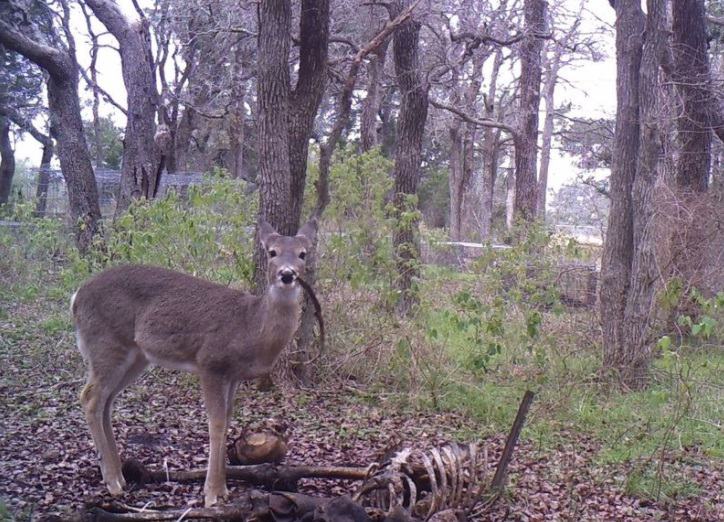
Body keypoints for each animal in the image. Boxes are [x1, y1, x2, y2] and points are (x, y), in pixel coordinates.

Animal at [73, 218, 316, 504]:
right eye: (272, 252)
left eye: (303, 254)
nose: (287, 274)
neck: (251, 327)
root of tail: (76, 297)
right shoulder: (210, 362)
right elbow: (216, 423)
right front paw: (212, 494)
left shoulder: (233, 375)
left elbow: (228, 419)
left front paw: (223, 489)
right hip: (106, 343)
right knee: (90, 397)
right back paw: (112, 482)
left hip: (136, 356)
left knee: (106, 401)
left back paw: (120, 476)